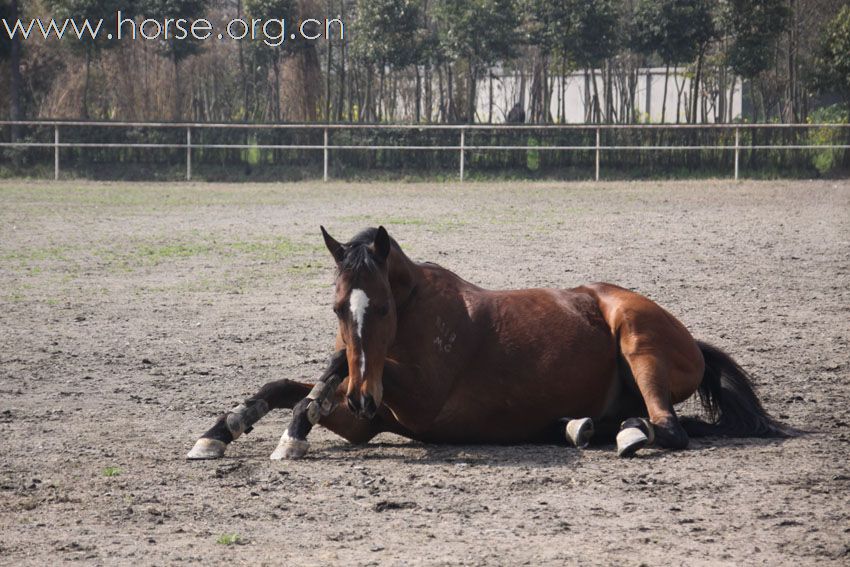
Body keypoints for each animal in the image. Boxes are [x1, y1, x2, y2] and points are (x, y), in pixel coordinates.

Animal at [187, 226, 788, 462]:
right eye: (337, 308)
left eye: (380, 308)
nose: (361, 398)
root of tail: (695, 344)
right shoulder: (368, 423)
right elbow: (288, 383)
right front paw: (222, 430)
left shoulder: (415, 398)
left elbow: (325, 372)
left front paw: (292, 433)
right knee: (646, 421)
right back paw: (582, 426)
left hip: (639, 341)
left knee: (670, 428)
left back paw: (618, 433)